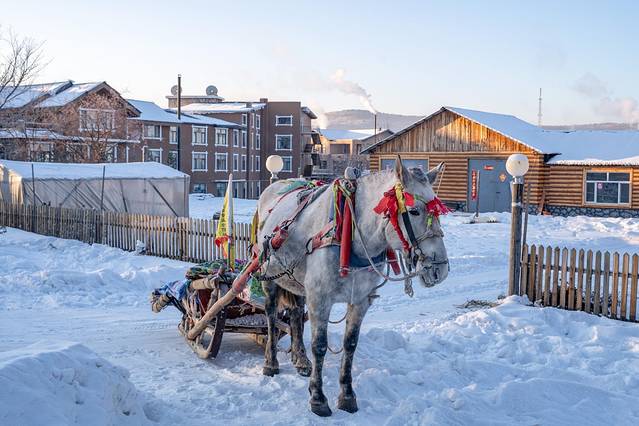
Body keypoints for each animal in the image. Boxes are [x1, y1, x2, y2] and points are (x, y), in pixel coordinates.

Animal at [256, 157, 449, 416]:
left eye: (439, 212)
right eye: (413, 211)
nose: (440, 269)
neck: (353, 236)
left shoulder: (360, 300)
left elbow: (350, 345)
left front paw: (347, 395)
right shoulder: (320, 298)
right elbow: (320, 346)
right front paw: (318, 397)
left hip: (297, 283)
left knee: (296, 314)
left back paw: (301, 360)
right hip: (269, 277)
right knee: (271, 316)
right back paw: (271, 362)